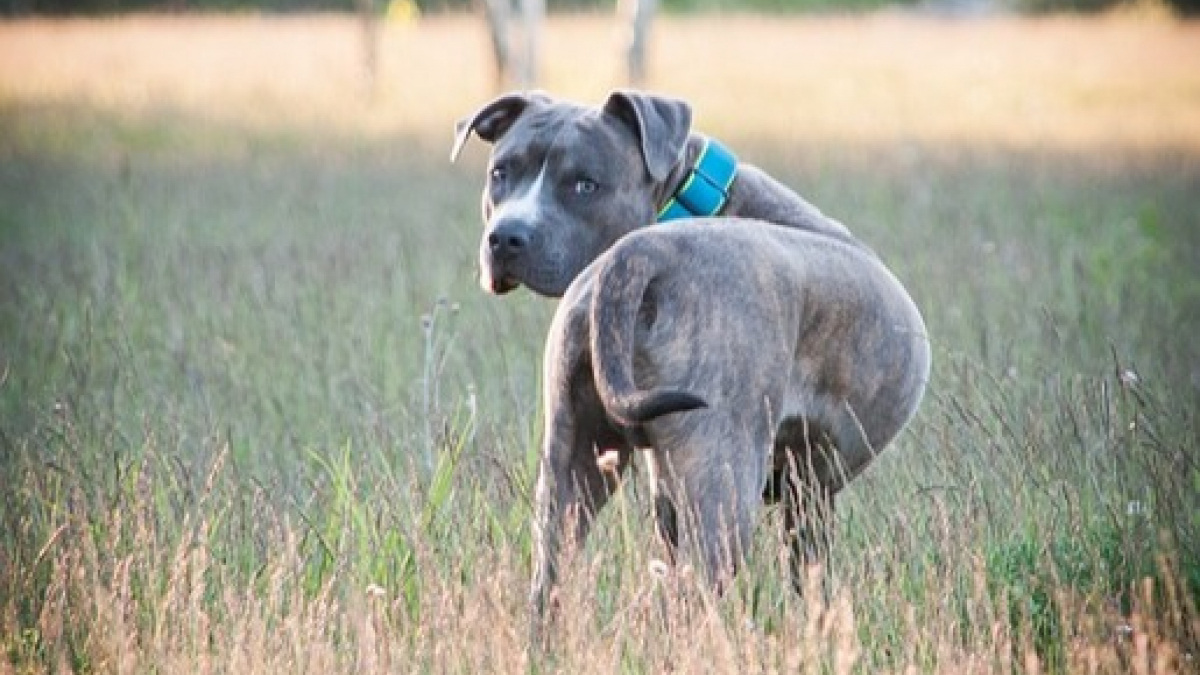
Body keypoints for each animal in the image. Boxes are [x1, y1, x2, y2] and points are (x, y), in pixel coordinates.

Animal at [453, 89, 931, 634]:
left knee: (549, 580)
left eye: (585, 184)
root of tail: (641, 253)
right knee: (691, 600)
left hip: (571, 467)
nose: (506, 237)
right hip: (722, 492)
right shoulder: (802, 495)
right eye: (501, 172)